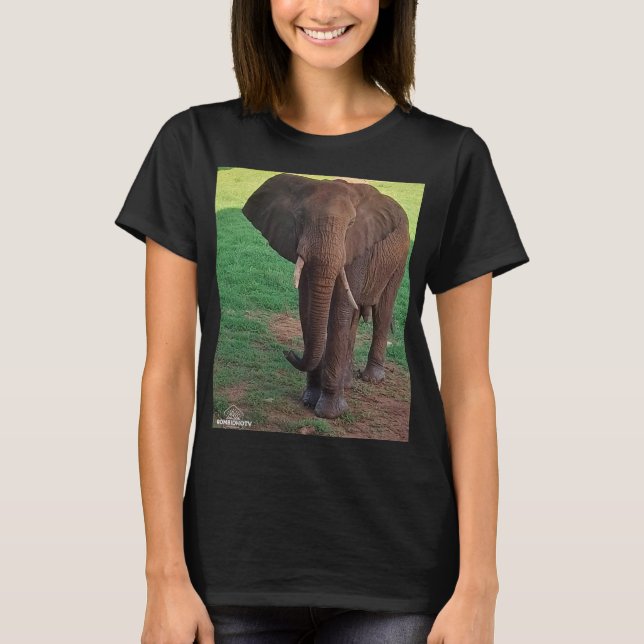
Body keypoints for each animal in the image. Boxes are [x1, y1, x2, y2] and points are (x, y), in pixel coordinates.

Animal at [241, 173, 410, 420]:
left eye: (351, 224)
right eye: (300, 218)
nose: (289, 353)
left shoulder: (357, 248)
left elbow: (339, 312)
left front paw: (329, 413)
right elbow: (307, 308)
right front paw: (309, 399)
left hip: (400, 259)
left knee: (383, 311)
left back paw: (371, 379)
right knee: (355, 318)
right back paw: (347, 383)